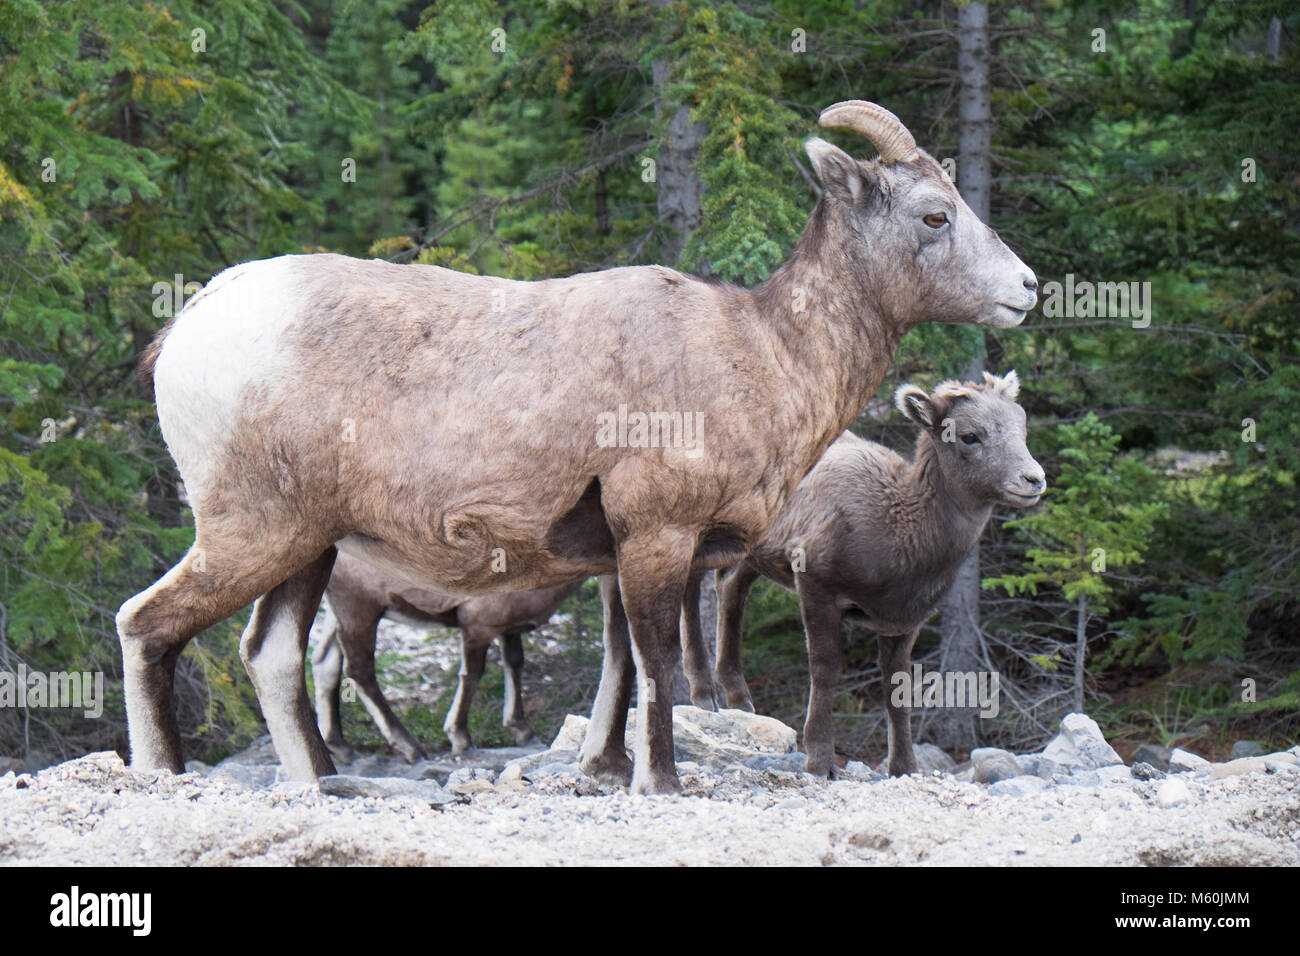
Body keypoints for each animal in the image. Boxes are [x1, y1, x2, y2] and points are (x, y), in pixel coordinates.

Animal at [311, 551, 581, 762]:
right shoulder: (477, 625)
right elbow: (473, 674)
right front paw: (461, 738)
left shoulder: (509, 629)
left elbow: (514, 663)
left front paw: (523, 731)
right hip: (359, 606)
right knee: (359, 669)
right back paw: (412, 749)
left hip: (338, 614)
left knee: (325, 662)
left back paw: (342, 747)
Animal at [674, 370, 1044, 777]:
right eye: (969, 435)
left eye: (1022, 426)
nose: (1033, 479)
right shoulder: (815, 581)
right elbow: (824, 670)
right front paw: (820, 760)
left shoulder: (903, 620)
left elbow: (897, 688)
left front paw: (904, 766)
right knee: (689, 586)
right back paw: (704, 692)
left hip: (753, 552)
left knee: (729, 587)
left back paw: (739, 697)